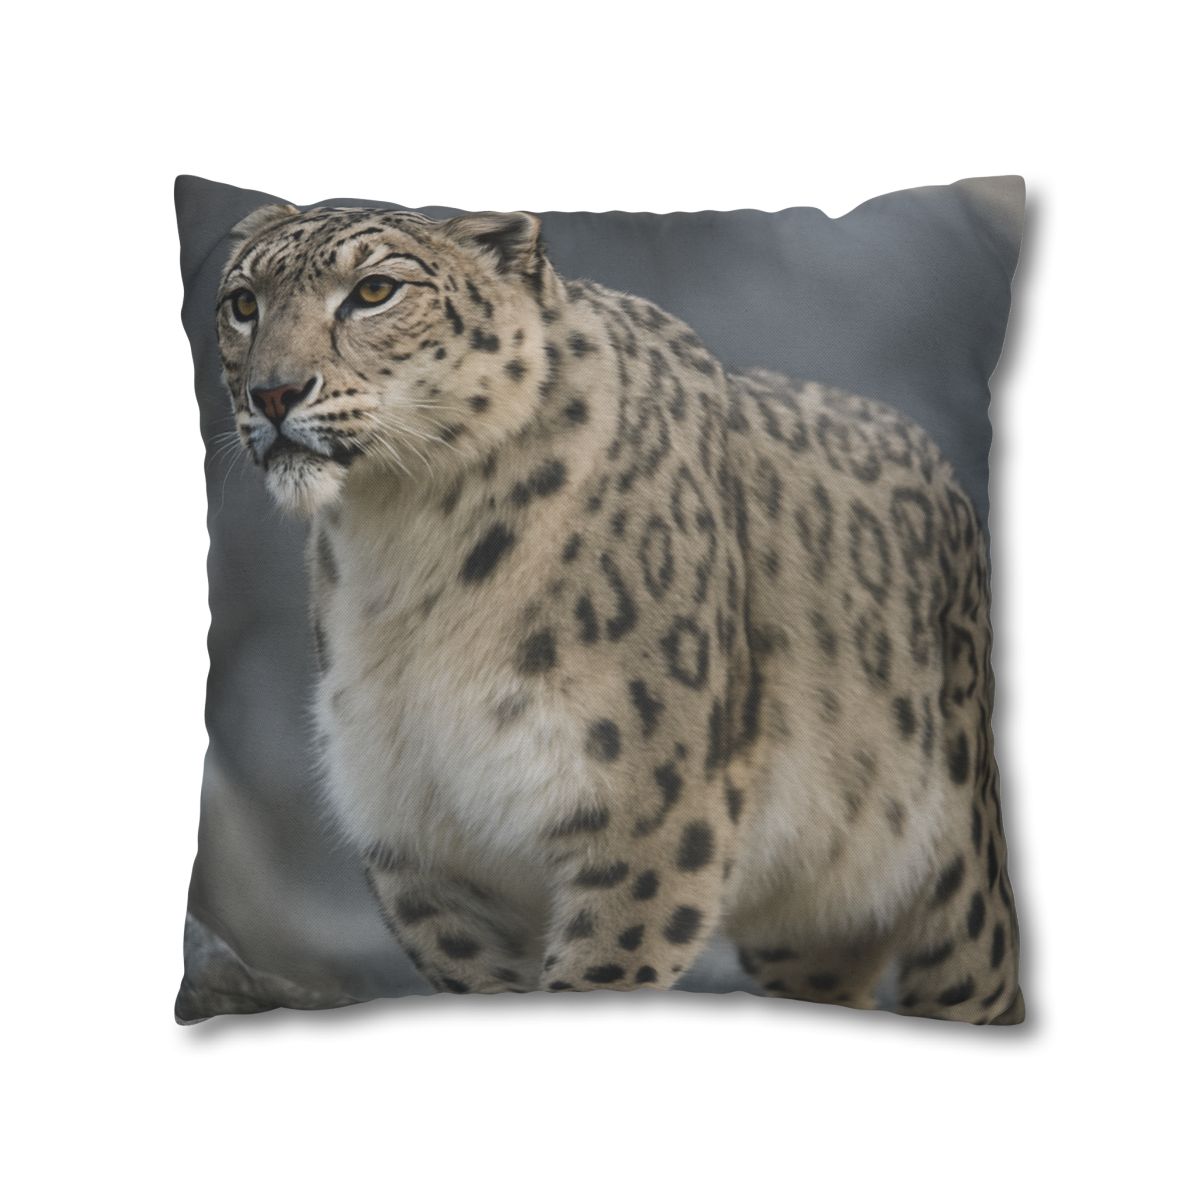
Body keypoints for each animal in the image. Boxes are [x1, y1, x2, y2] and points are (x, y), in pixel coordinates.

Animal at [214, 201, 1023, 1023]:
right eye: (243, 303)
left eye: (375, 290)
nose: (273, 393)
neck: (403, 545)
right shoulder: (421, 841)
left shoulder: (645, 816)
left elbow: (600, 971)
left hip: (964, 891)